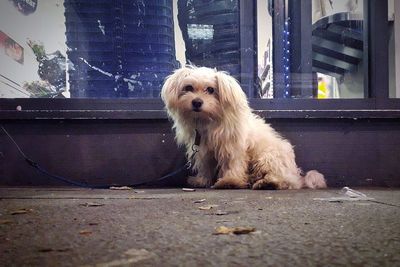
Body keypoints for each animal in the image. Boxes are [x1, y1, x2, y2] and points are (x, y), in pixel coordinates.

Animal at [161, 65, 326, 191]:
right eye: (188, 87)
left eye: (211, 90)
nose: (196, 102)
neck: (210, 121)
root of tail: (297, 175)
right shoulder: (203, 150)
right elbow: (205, 166)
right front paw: (202, 180)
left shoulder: (232, 148)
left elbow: (233, 164)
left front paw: (230, 181)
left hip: (267, 157)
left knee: (285, 181)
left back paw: (268, 183)